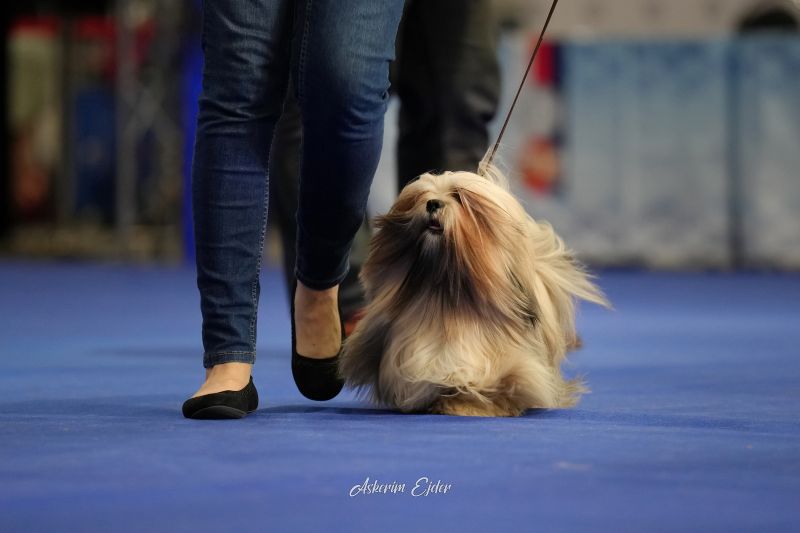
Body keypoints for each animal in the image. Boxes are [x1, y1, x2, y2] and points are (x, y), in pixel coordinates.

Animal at [338, 166, 608, 417]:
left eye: (458, 196)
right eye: (421, 196)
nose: (433, 203)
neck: (444, 298)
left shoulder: (508, 368)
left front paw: (467, 404)